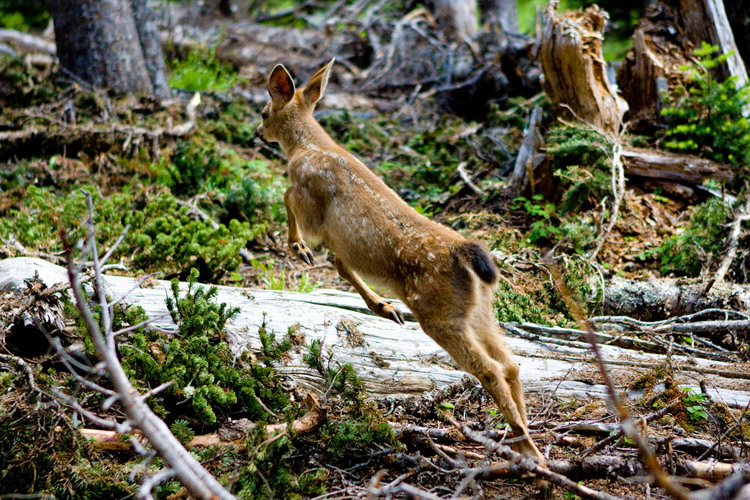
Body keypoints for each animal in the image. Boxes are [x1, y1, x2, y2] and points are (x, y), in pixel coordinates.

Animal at [258, 58, 548, 472]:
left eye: (264, 111)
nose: (258, 132)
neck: (309, 147)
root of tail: (466, 255)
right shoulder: (339, 242)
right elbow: (341, 264)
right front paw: (384, 307)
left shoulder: (311, 205)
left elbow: (285, 198)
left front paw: (298, 248)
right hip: (480, 314)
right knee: (510, 364)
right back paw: (527, 446)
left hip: (439, 315)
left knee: (490, 370)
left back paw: (528, 450)